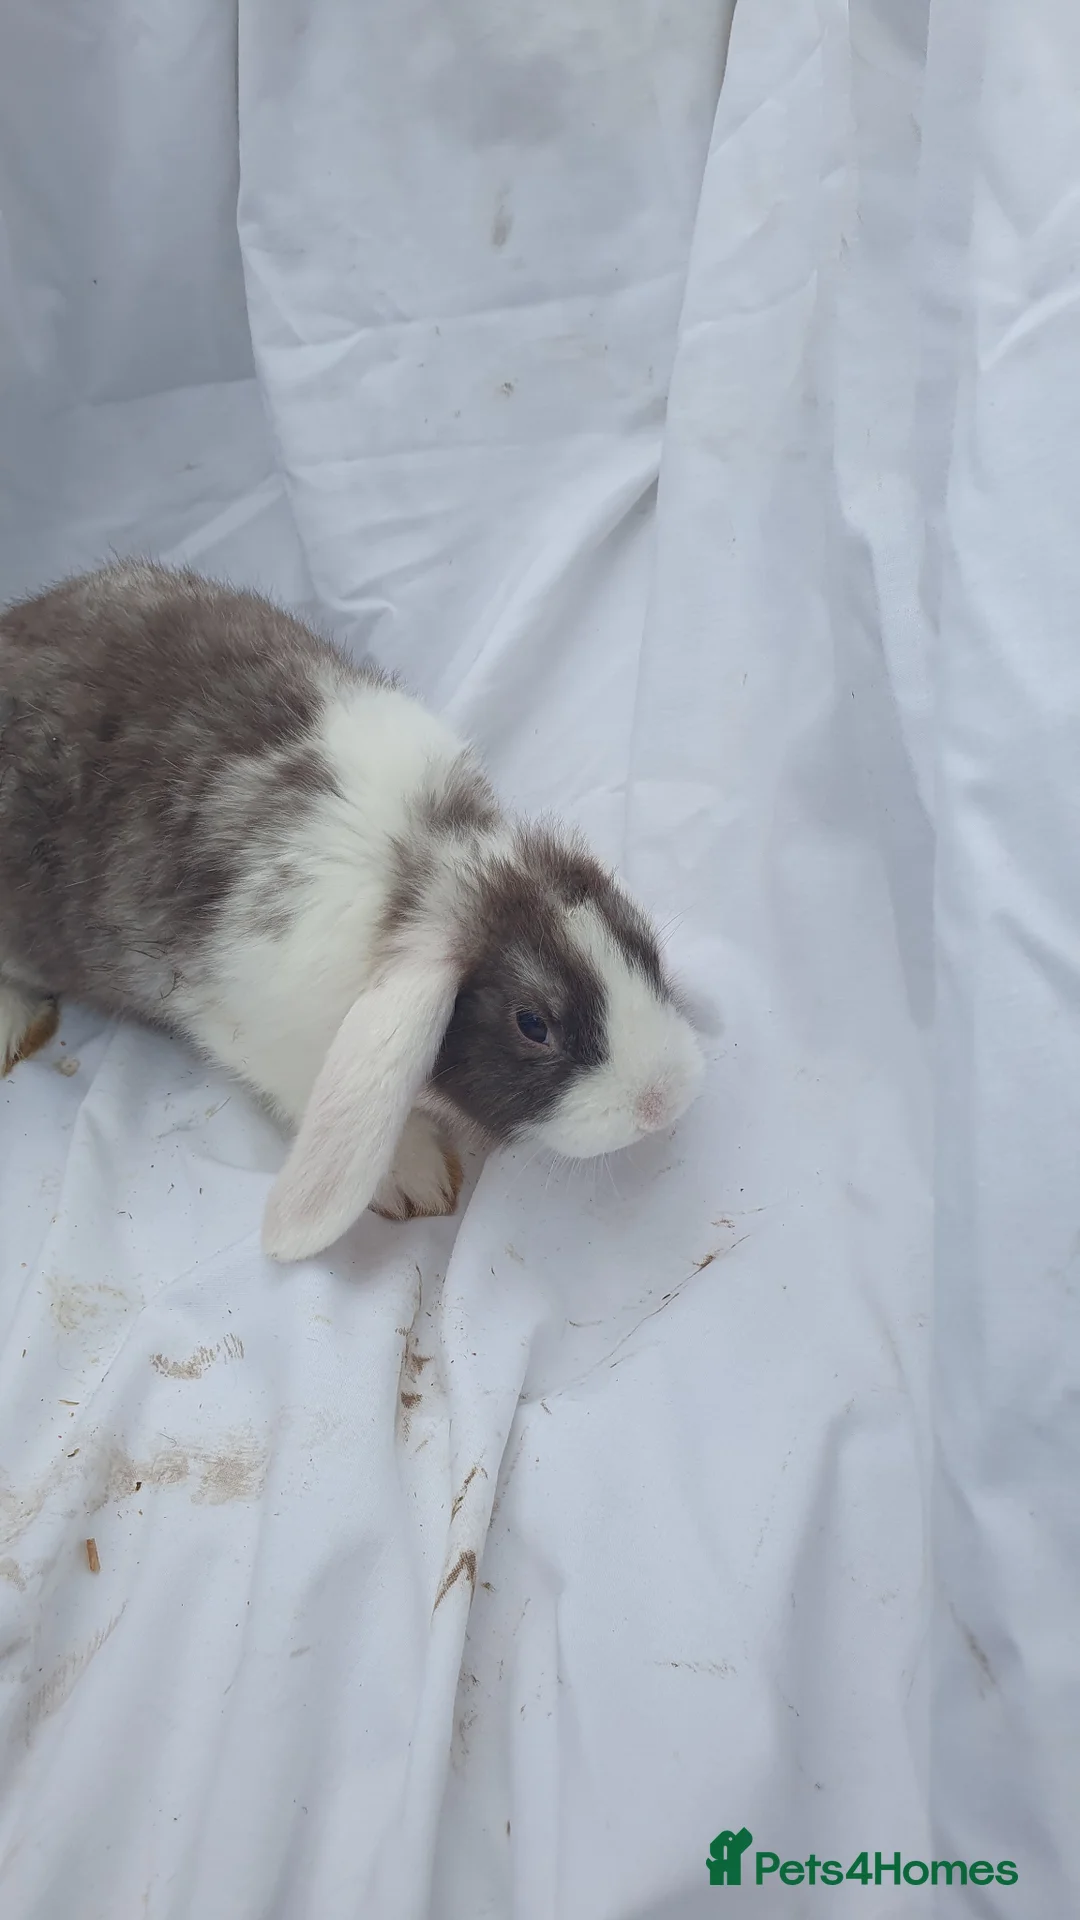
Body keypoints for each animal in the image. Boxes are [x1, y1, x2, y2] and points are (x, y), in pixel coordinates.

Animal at [0, 561, 705, 1262]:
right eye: (533, 1024)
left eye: (641, 947)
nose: (663, 1099)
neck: (429, 862)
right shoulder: (262, 1035)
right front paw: (414, 1177)